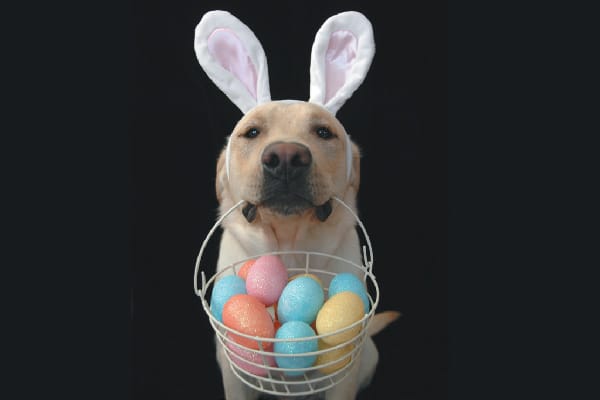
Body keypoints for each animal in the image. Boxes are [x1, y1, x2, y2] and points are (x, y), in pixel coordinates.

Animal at [195, 10, 398, 398]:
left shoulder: (344, 373)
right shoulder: (233, 369)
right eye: (252, 132)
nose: (286, 157)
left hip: (369, 355)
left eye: (323, 132)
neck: (289, 248)